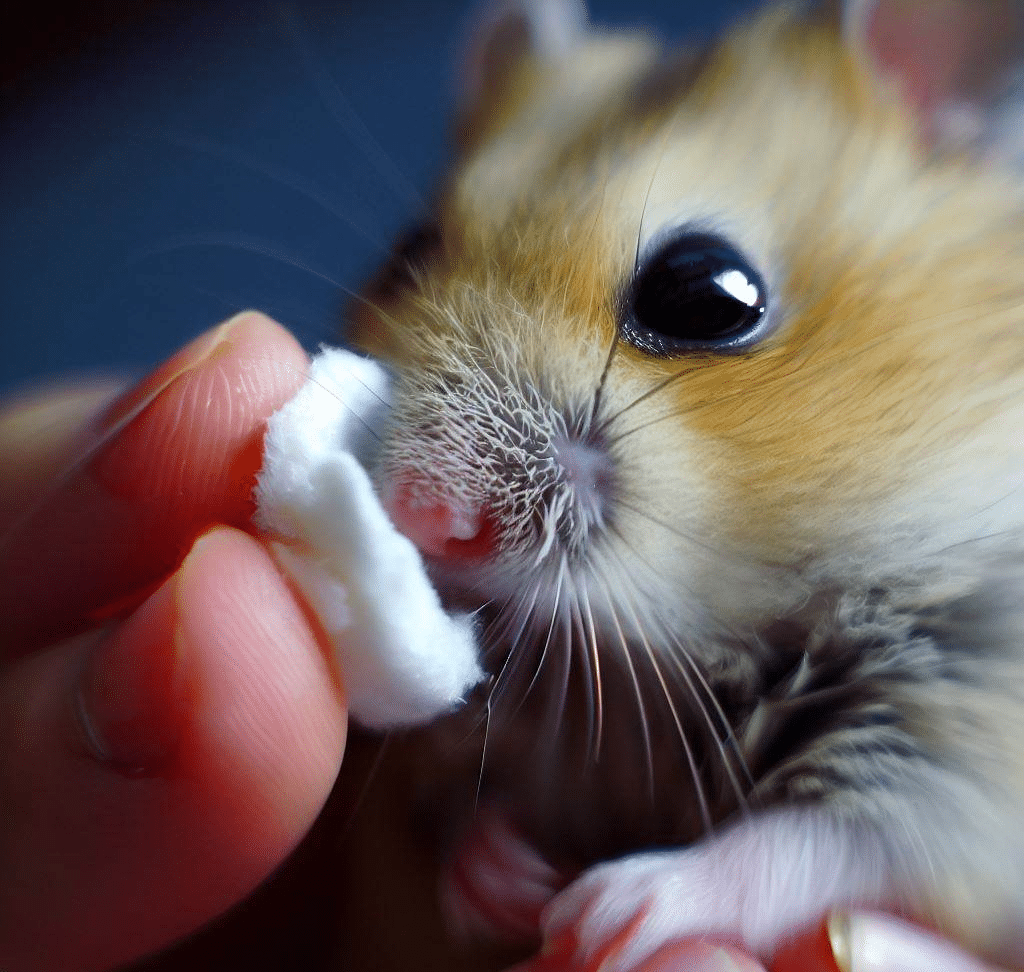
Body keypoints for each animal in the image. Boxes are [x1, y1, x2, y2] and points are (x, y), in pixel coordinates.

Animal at [339, 0, 1024, 966]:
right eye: (410, 248)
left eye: (705, 292)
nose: (418, 514)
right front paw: (506, 884)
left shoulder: (964, 750)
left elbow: (815, 843)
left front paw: (602, 915)